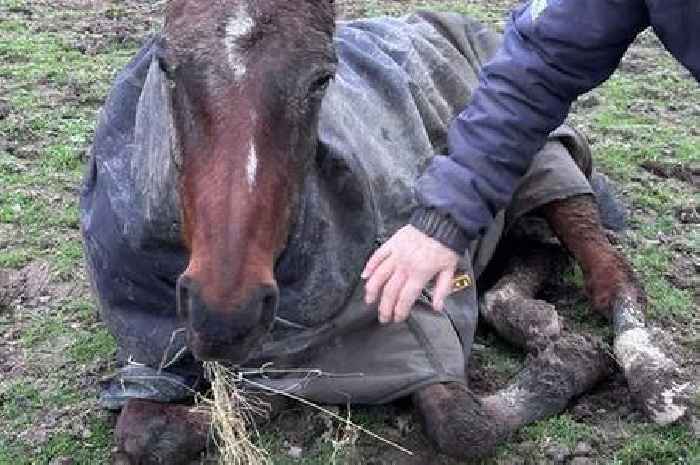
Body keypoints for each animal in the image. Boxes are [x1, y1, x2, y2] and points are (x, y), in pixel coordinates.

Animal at [79, 0, 692, 464]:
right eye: (167, 66)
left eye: (322, 79)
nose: (224, 314)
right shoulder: (153, 357)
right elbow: (146, 431)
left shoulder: (414, 303)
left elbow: (462, 426)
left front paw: (572, 360)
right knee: (531, 258)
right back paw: (530, 315)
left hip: (544, 155)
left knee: (610, 275)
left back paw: (651, 376)